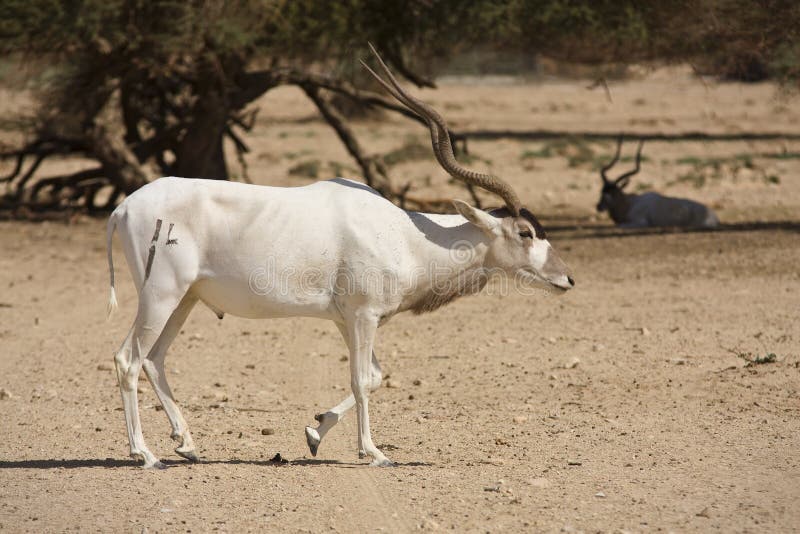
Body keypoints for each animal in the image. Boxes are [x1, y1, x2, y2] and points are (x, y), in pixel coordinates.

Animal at [108, 47, 576, 474]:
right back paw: (145, 455)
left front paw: (315, 432)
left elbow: (374, 376)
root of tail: (124, 207)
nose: (567, 279)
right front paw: (374, 452)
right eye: (525, 232)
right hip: (162, 294)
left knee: (154, 359)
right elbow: (362, 379)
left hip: (184, 299)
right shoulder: (365, 316)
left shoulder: (345, 319)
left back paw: (185, 444)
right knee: (128, 358)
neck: (408, 235)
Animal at [592, 137, 720, 229]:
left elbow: (619, 226)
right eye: (602, 191)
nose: (598, 206)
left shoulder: (640, 222)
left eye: (613, 192)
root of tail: (714, 216)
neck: (630, 203)